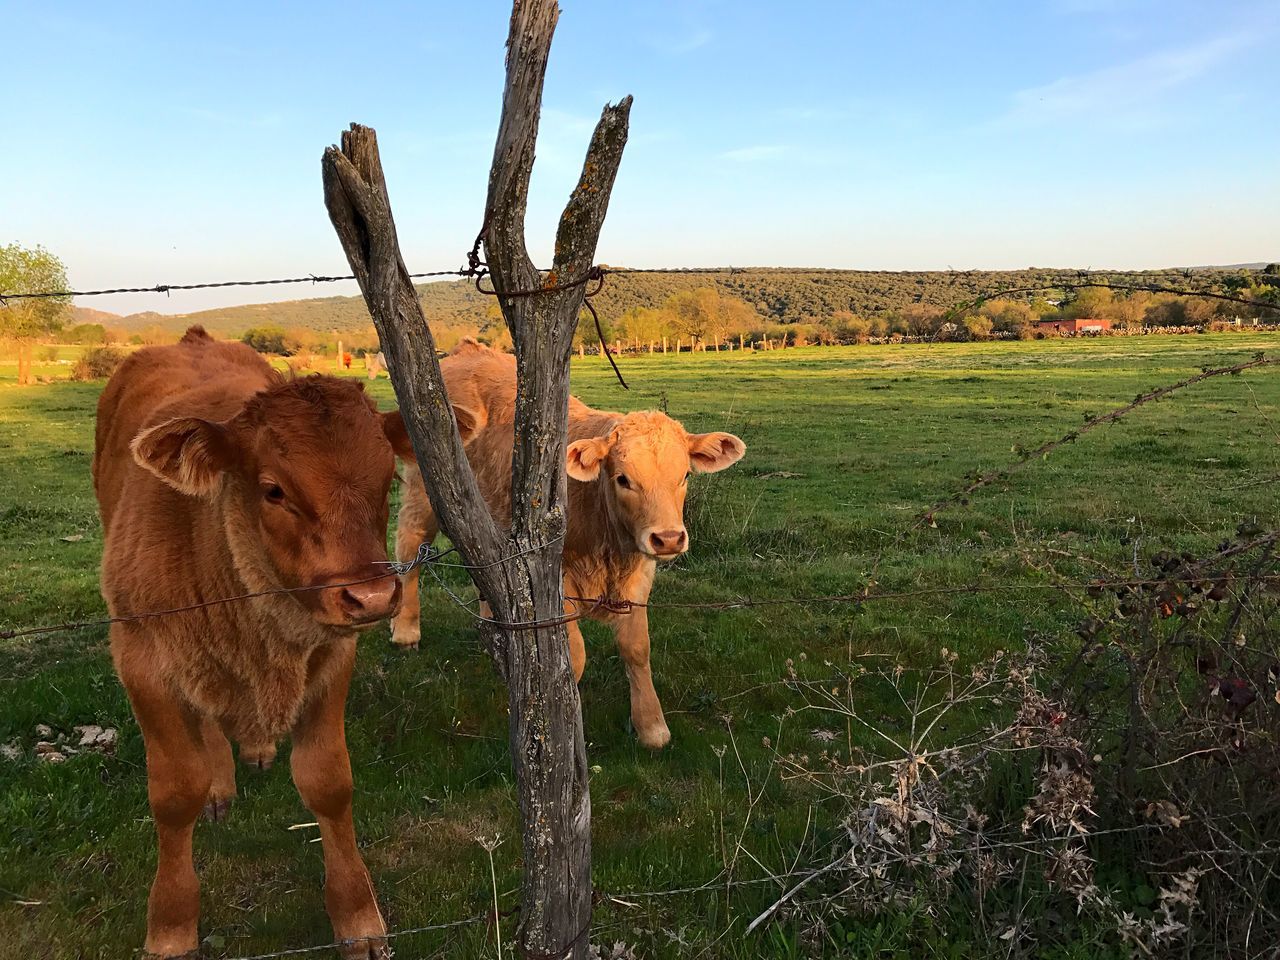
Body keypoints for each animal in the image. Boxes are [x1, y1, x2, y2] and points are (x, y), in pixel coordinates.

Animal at [95, 327, 409, 957]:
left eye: (389, 478)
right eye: (273, 490)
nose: (371, 596)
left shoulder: (332, 652)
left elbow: (328, 782)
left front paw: (358, 918)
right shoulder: (141, 660)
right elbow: (175, 794)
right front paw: (170, 925)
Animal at [394, 340, 747, 752]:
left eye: (685, 475)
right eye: (623, 478)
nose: (669, 538)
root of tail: (468, 351)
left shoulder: (640, 574)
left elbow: (637, 648)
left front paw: (651, 726)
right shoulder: (552, 577)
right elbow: (572, 658)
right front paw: (563, 724)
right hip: (426, 490)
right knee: (409, 550)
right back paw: (405, 631)